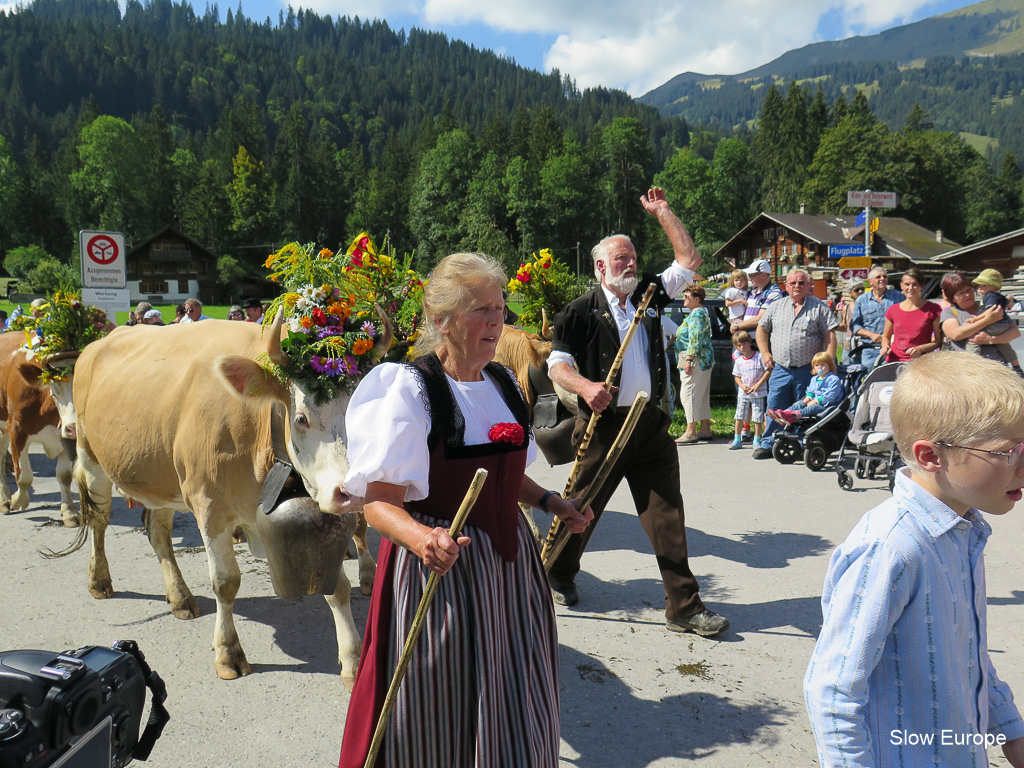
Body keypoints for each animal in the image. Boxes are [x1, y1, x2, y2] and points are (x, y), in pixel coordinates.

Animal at [0, 333, 76, 528]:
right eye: (55, 391)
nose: (73, 428)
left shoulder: (62, 437)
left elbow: (64, 476)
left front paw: (69, 511)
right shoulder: (17, 431)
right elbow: (24, 477)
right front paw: (17, 501)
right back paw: (5, 499)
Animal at [64, 241, 397, 684]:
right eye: (301, 418)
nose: (352, 492)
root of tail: (104, 339)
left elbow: (336, 586)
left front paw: (353, 658)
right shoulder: (209, 505)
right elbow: (226, 582)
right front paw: (227, 652)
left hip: (162, 476)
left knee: (158, 531)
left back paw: (180, 598)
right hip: (92, 457)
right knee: (99, 518)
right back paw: (100, 580)